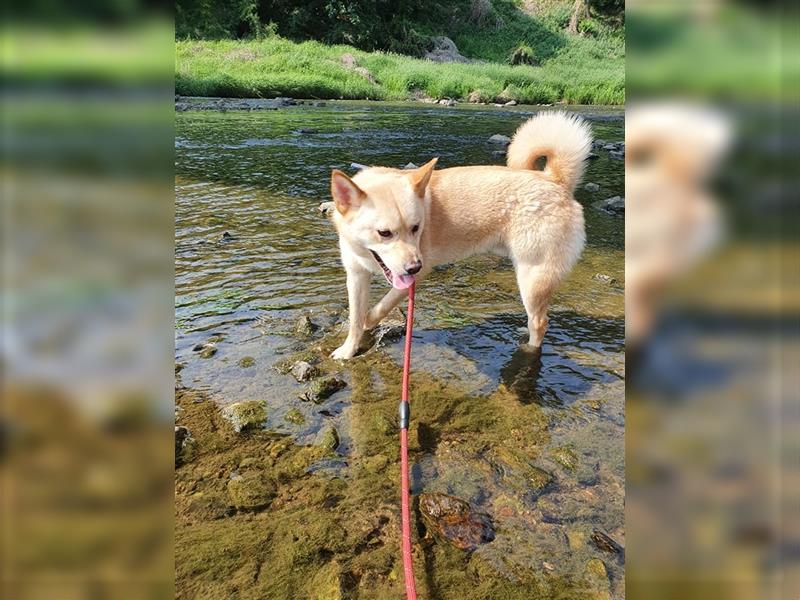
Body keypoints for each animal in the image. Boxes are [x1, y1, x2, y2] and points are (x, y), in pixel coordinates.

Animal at [326, 111, 592, 360]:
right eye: (384, 233)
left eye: (416, 227)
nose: (414, 266)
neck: (365, 253)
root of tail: (554, 180)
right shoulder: (356, 275)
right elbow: (355, 316)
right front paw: (348, 350)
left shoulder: (417, 275)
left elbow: (379, 308)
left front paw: (369, 321)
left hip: (533, 278)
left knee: (539, 322)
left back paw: (528, 349)